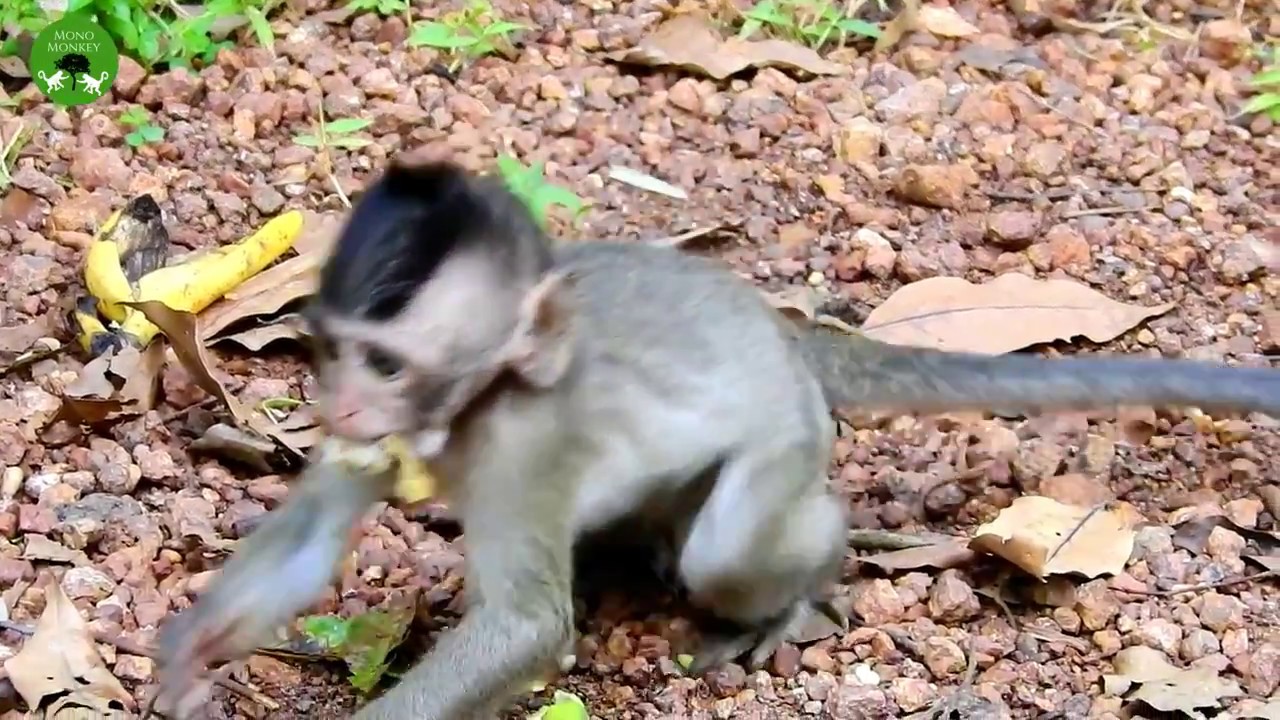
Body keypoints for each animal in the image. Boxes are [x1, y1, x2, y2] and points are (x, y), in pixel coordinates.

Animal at [154, 160, 1280, 720]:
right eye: (330, 351)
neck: (470, 404)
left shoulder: (524, 442)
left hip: (785, 438)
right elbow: (310, 545)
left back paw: (809, 578)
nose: (343, 406)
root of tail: (782, 337)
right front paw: (190, 653)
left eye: (386, 365)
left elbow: (525, 630)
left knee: (731, 549)